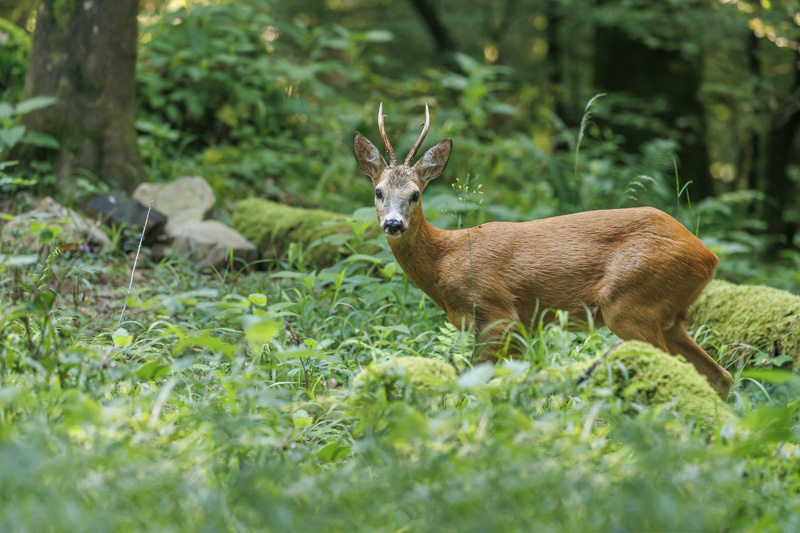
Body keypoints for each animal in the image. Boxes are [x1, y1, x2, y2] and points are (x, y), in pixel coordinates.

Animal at [354, 103, 736, 400]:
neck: (446, 259)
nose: (393, 224)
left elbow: (472, 381)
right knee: (720, 375)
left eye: (416, 194)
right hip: (668, 315)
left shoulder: (498, 311)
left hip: (631, 303)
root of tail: (709, 256)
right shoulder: (525, 325)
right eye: (378, 191)